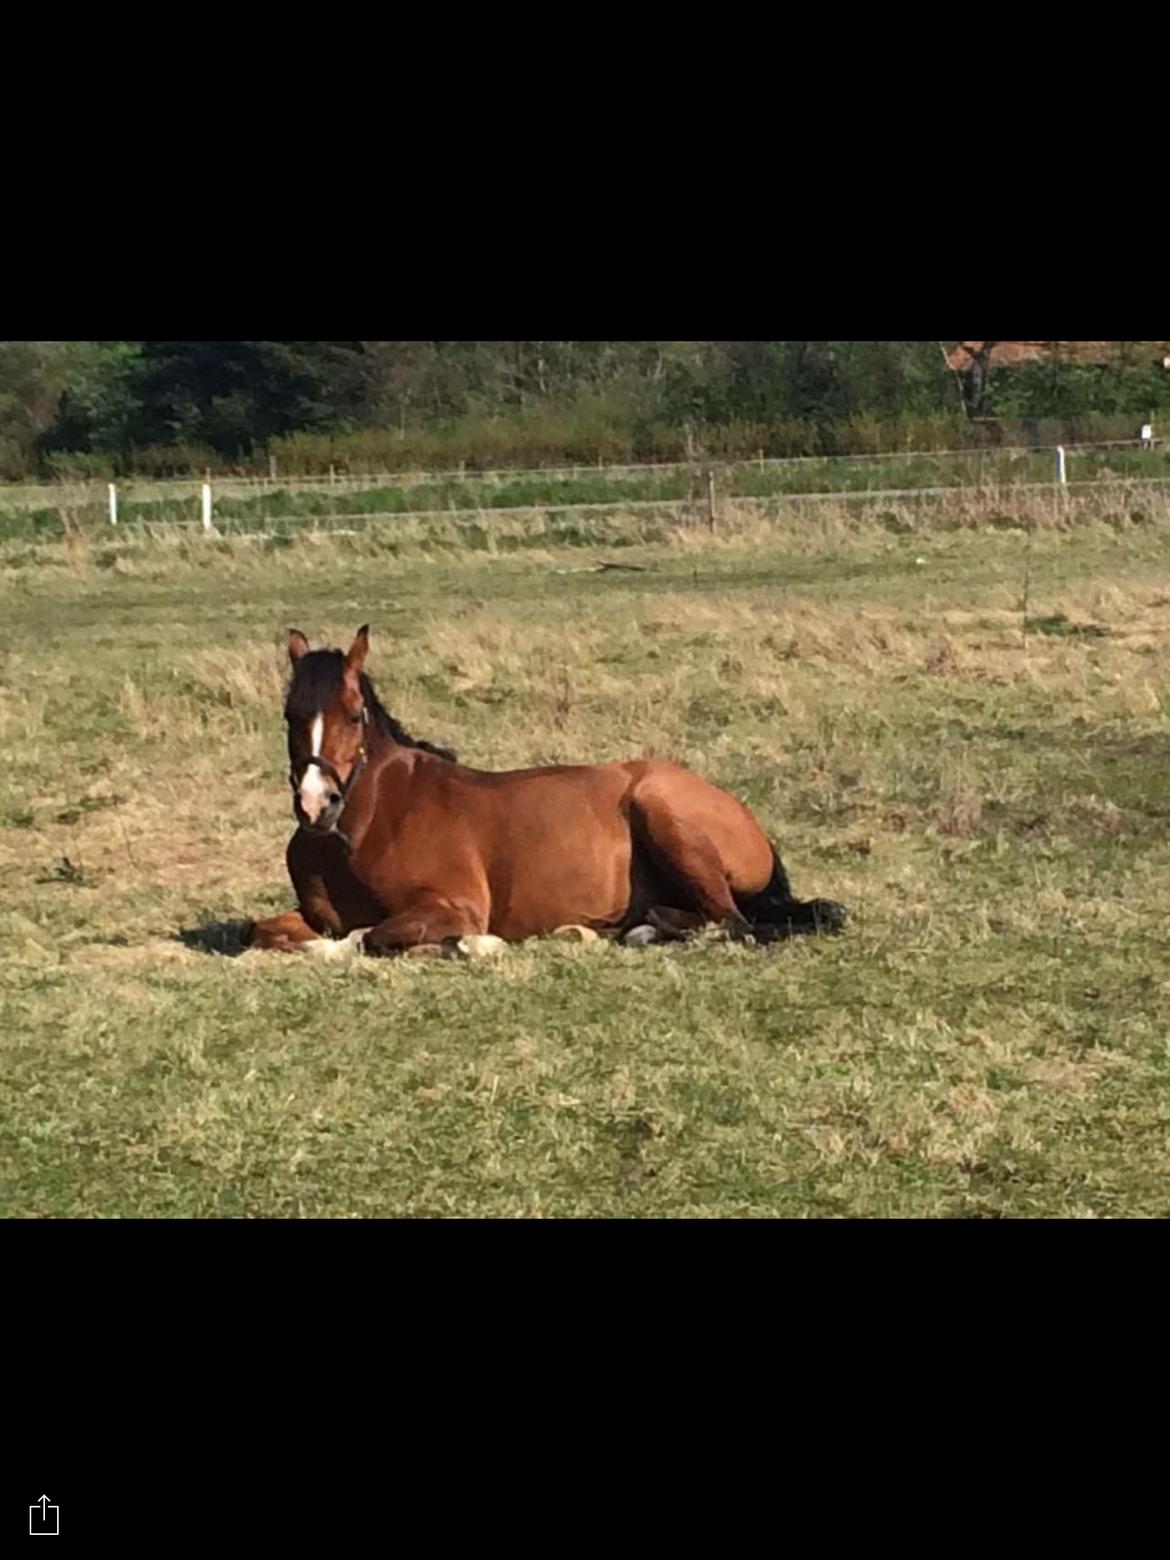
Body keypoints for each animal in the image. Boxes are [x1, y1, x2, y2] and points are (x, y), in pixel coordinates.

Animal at [245, 626, 846, 956]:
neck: (367, 826)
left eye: (353, 716)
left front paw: (472, 947)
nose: (316, 804)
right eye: (289, 715)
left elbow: (372, 937)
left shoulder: (452, 906)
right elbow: (266, 930)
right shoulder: (314, 916)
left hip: (664, 813)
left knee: (733, 923)